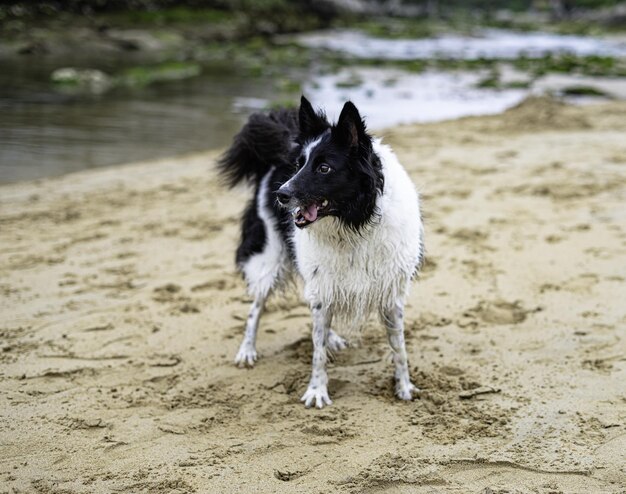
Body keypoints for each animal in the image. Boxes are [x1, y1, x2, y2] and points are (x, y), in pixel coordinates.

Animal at [217, 96, 422, 410]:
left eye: (324, 168)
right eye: (299, 165)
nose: (281, 195)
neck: (353, 222)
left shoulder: (391, 291)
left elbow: (399, 347)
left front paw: (404, 387)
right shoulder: (322, 283)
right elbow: (317, 351)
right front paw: (316, 391)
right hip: (269, 259)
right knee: (256, 309)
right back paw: (247, 350)